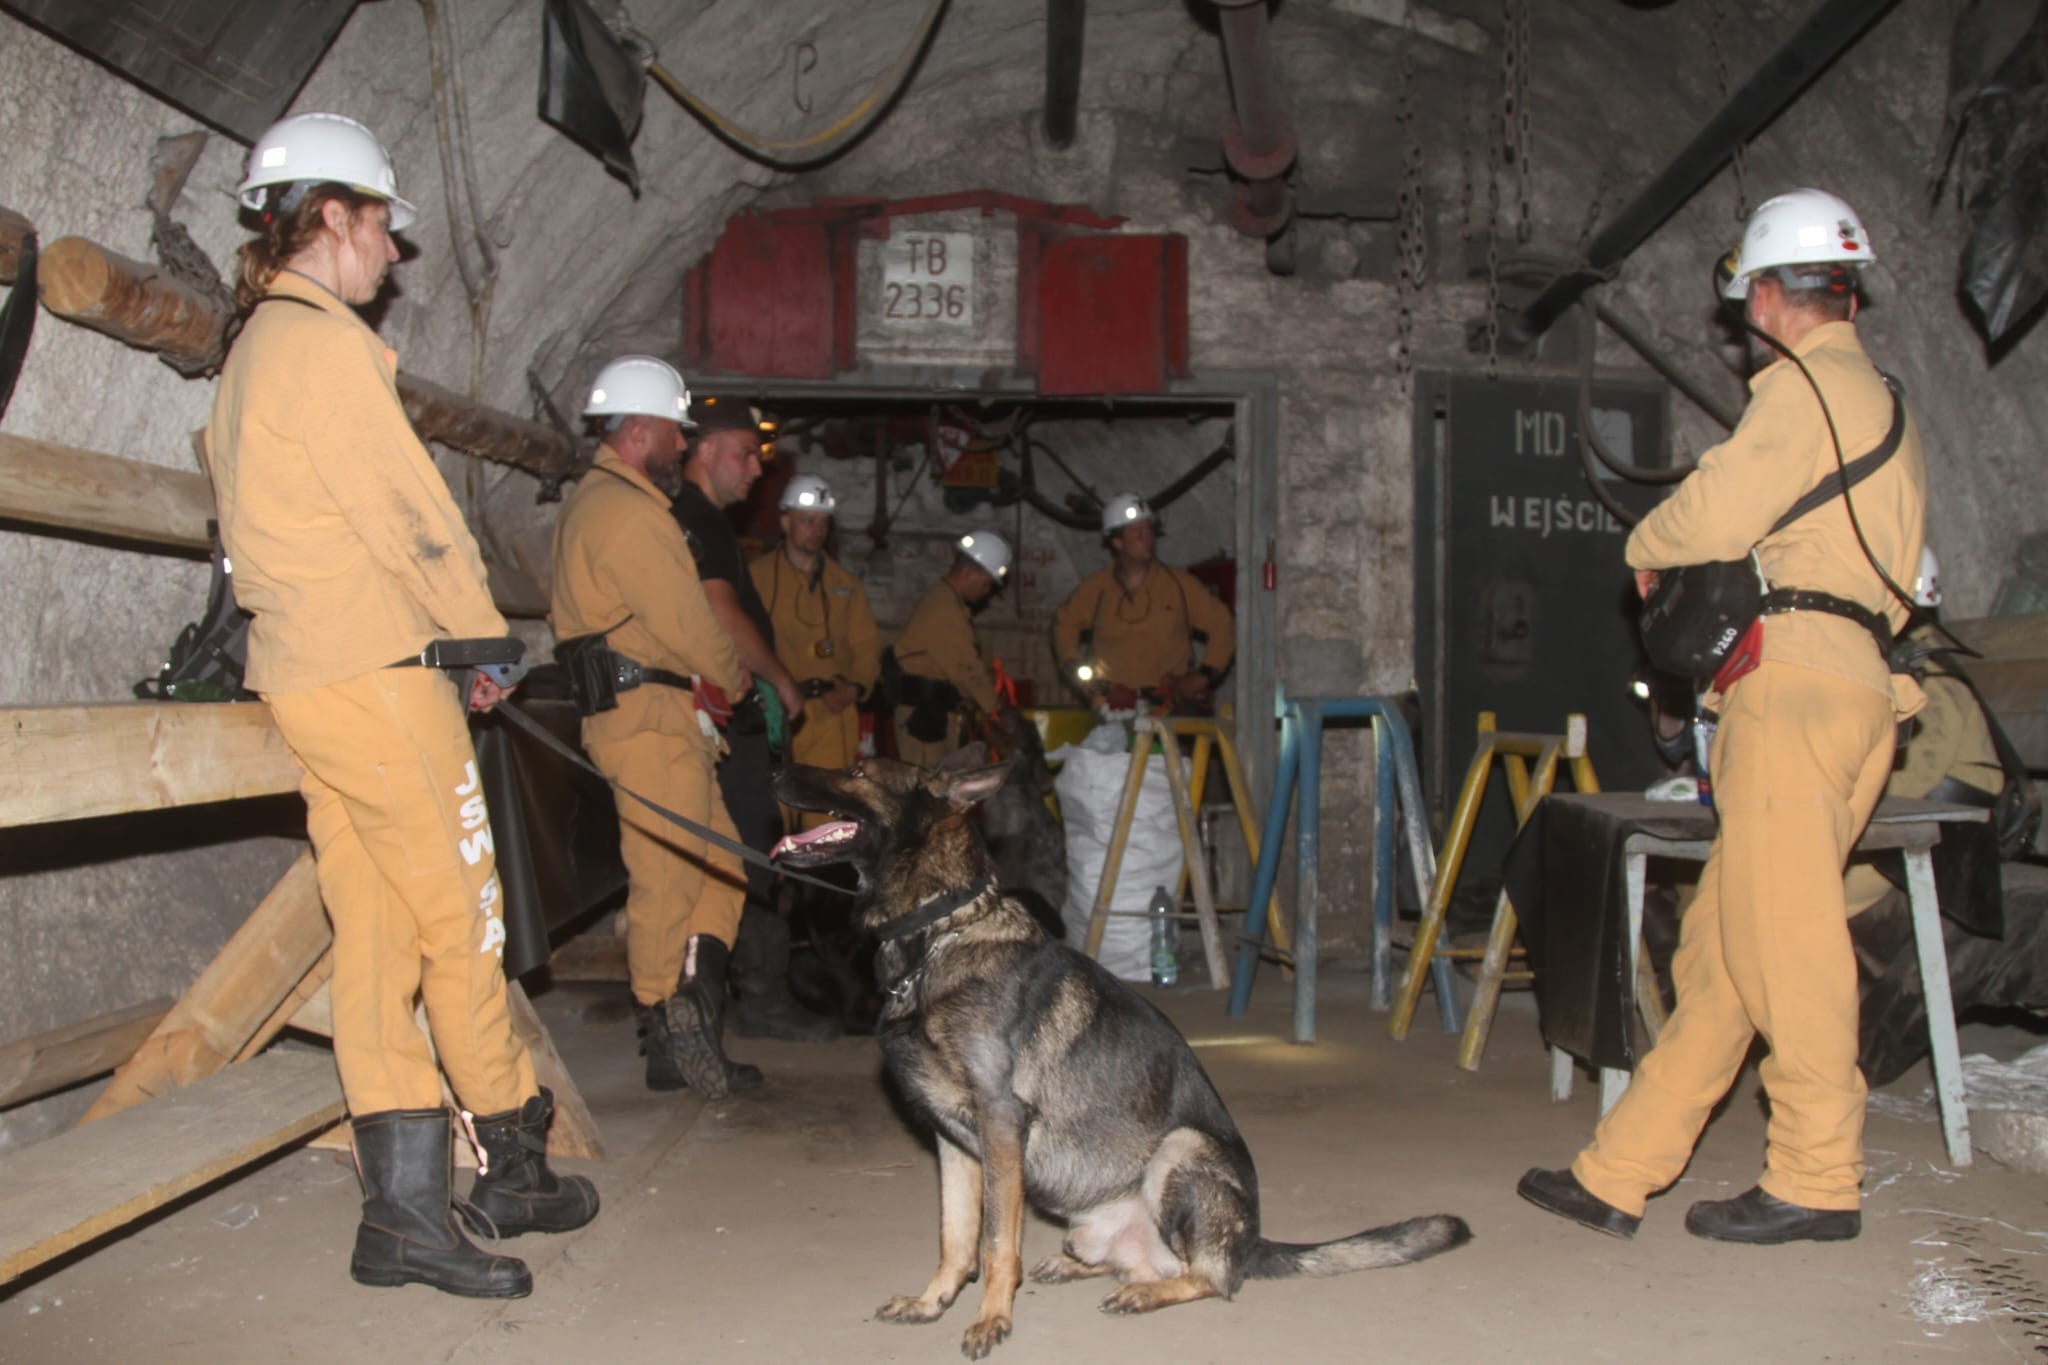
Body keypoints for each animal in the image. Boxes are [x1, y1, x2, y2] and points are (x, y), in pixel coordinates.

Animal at [770, 756, 1471, 1358]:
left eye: (859, 770)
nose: (773, 768)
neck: (936, 936)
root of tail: (1252, 1243)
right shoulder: (952, 1141)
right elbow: (956, 1237)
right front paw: (933, 1302)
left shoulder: (999, 1125)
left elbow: (996, 1244)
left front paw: (992, 1318)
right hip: (1088, 1219)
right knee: (1142, 1260)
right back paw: (1083, 1267)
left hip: (1180, 1151)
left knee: (1212, 1276)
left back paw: (1148, 1291)